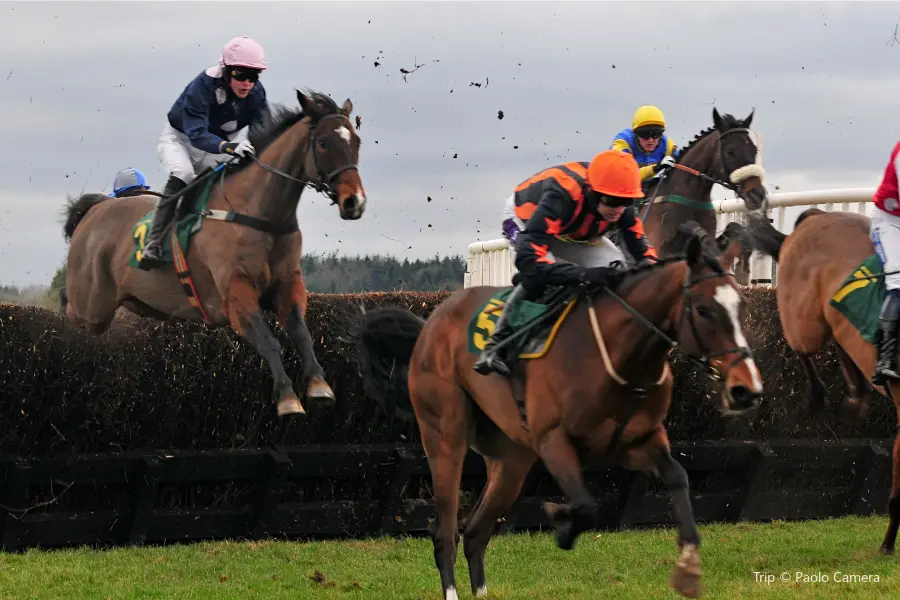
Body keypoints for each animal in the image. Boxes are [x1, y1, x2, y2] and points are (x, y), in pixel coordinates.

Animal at [60, 90, 366, 418]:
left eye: (356, 141)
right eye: (323, 142)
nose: (354, 202)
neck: (257, 212)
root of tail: (94, 210)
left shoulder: (288, 282)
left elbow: (301, 333)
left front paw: (319, 387)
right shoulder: (236, 290)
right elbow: (269, 341)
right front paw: (287, 399)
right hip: (93, 305)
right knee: (72, 309)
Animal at [350, 231, 760, 600]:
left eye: (741, 306)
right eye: (703, 310)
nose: (746, 389)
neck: (620, 354)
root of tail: (429, 325)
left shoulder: (638, 442)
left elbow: (677, 477)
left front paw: (689, 569)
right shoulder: (554, 441)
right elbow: (586, 507)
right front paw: (560, 523)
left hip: (511, 460)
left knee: (476, 533)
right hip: (444, 437)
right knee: (446, 533)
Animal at [640, 107, 768, 284]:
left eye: (754, 150)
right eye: (730, 151)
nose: (757, 194)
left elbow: (733, 229)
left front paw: (743, 268)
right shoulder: (656, 249)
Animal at [744, 209, 900, 556]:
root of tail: (818, 215)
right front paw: (886, 547)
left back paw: (857, 395)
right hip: (804, 317)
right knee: (802, 343)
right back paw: (818, 396)